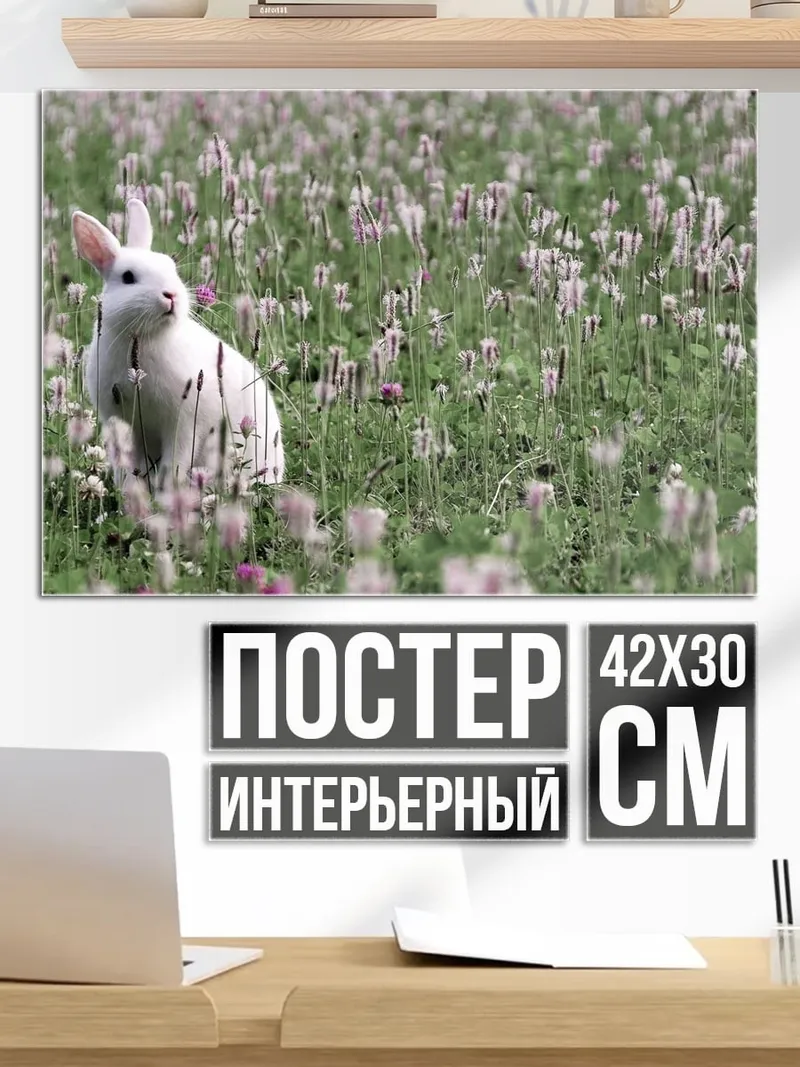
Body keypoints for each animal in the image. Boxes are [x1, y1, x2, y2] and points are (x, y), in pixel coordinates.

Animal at [72, 197, 284, 490]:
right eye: (128, 277)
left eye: (171, 268)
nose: (170, 295)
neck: (148, 338)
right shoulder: (122, 422)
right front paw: (131, 492)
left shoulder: (184, 424)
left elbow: (176, 462)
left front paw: (166, 493)